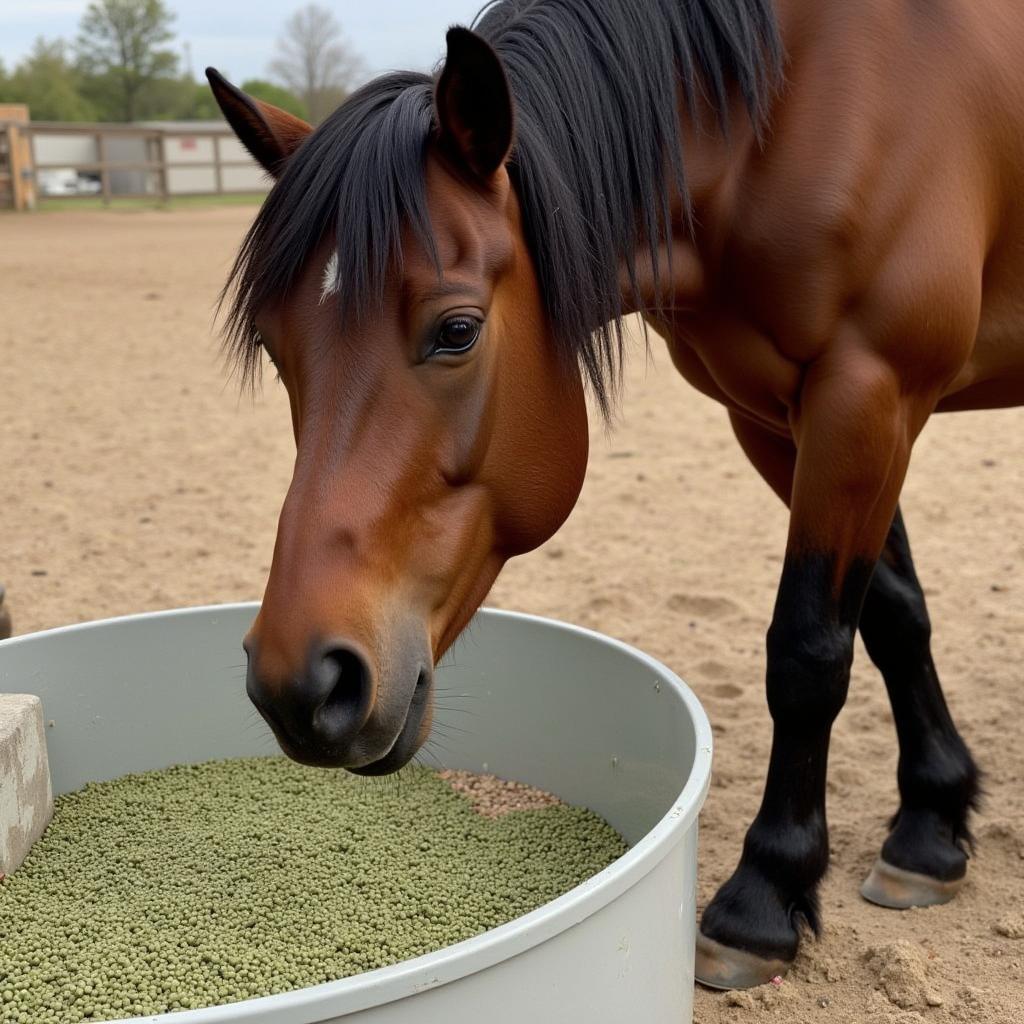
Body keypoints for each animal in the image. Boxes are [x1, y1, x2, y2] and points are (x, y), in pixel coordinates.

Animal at [203, 0, 1019, 991]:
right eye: (275, 348)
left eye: (457, 331)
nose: (301, 684)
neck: (798, 105)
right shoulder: (781, 416)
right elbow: (893, 614)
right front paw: (932, 828)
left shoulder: (867, 392)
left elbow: (810, 650)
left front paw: (762, 897)